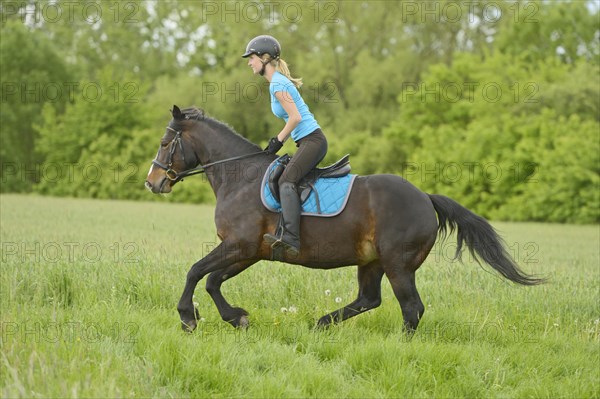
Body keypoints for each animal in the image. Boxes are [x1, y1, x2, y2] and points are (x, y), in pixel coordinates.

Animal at [145, 104, 544, 332]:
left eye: (165, 144)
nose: (152, 182)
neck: (239, 177)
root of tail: (425, 197)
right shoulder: (249, 251)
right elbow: (213, 280)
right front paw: (237, 318)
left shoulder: (238, 245)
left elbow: (195, 272)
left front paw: (187, 317)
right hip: (372, 261)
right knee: (370, 299)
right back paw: (322, 324)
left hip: (398, 263)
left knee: (411, 308)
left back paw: (398, 347)